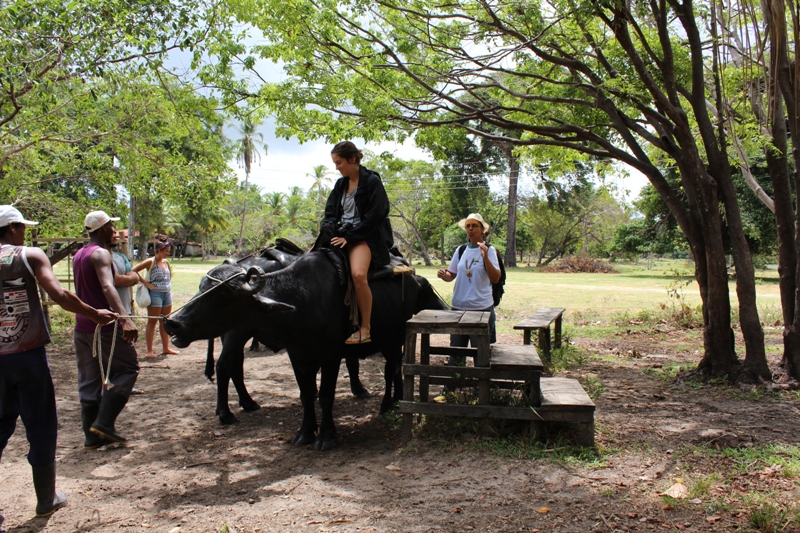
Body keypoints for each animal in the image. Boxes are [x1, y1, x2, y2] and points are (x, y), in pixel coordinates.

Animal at [165, 249, 446, 448]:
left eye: (222, 295)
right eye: (202, 287)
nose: (173, 323)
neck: (301, 300)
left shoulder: (332, 355)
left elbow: (326, 394)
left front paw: (327, 436)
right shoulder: (297, 355)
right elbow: (306, 393)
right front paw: (305, 432)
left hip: (393, 339)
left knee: (392, 370)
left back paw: (389, 404)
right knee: (230, 366)